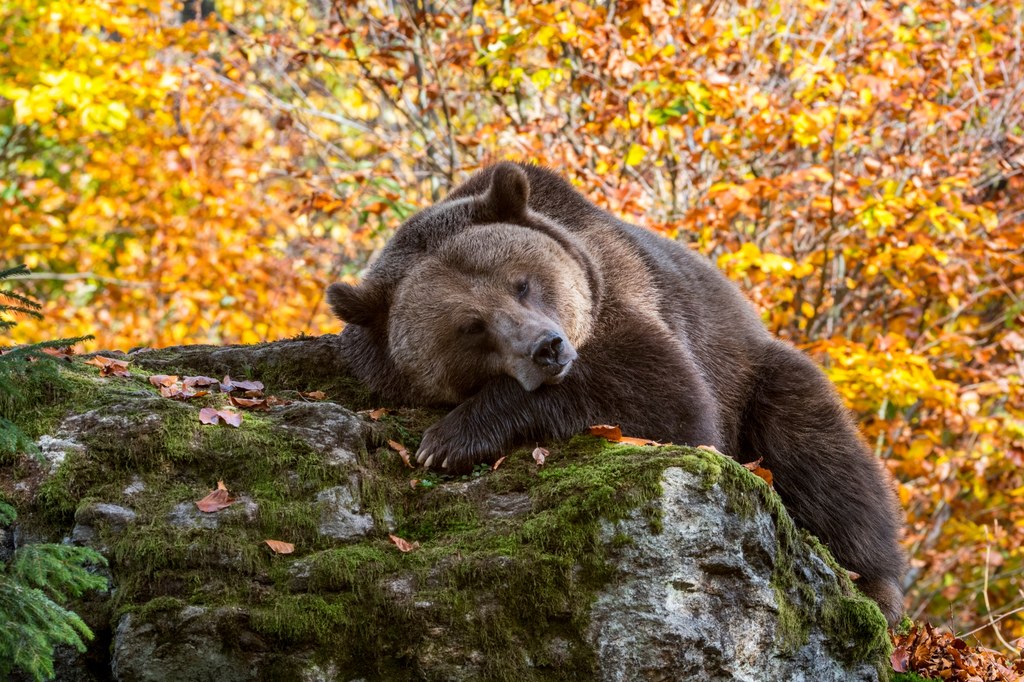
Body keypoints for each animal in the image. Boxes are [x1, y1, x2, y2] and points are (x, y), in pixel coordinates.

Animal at [325, 160, 905, 622]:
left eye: (521, 282)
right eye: (470, 325)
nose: (548, 348)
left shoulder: (625, 294)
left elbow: (662, 398)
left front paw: (448, 439)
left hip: (752, 375)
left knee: (820, 453)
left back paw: (875, 585)